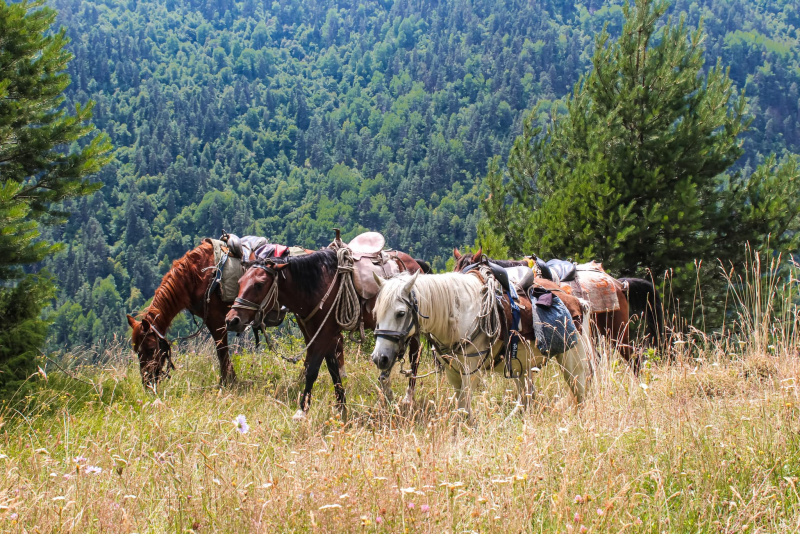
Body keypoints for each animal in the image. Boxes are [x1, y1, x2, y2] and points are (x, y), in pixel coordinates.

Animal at [126, 243, 346, 390]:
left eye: (150, 348)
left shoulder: (216, 319)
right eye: (136, 350)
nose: (147, 383)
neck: (197, 276)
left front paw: (227, 382)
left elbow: (222, 351)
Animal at [225, 249, 424, 420]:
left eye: (259, 284)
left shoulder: (324, 335)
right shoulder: (325, 334)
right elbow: (333, 370)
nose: (232, 320)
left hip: (413, 330)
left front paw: (302, 410)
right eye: (240, 282)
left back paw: (408, 397)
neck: (316, 286)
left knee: (414, 358)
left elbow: (312, 370)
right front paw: (342, 407)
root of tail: (416, 264)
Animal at [370, 274, 592, 420]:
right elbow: (461, 408)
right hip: (521, 367)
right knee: (527, 398)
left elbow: (465, 409)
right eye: (376, 312)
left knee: (580, 393)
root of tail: (577, 301)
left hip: (572, 361)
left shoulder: (471, 373)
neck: (457, 315)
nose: (379, 358)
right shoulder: (453, 373)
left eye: (400, 313)